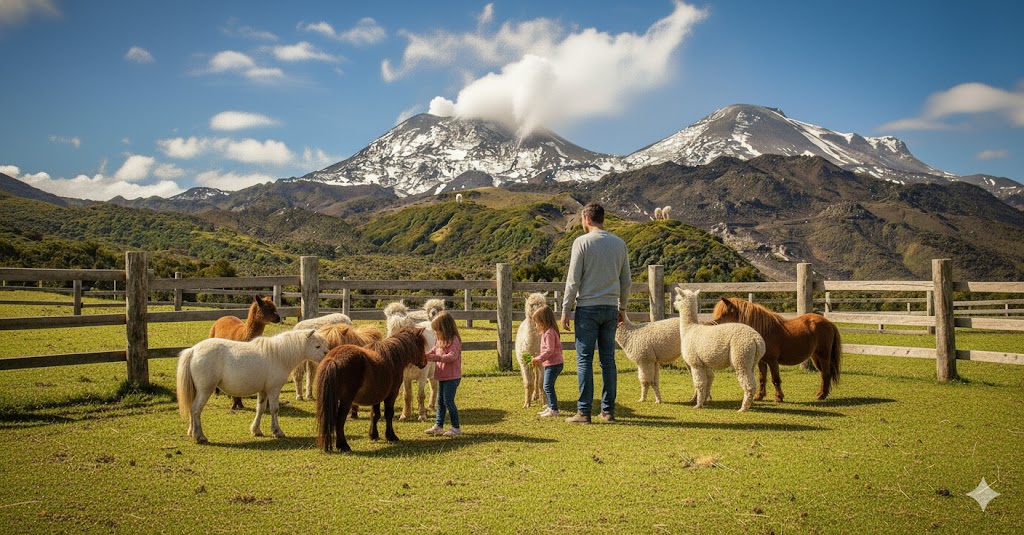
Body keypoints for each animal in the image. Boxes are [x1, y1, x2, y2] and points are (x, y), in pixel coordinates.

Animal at [176, 329, 330, 444]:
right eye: (317, 346)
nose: (327, 356)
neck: (278, 355)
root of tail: (193, 351)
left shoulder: (263, 391)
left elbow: (260, 409)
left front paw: (256, 430)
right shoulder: (274, 390)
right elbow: (274, 409)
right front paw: (277, 431)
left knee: (192, 409)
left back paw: (192, 433)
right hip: (205, 390)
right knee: (196, 410)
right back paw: (200, 436)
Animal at [712, 296, 842, 402]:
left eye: (723, 315)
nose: (713, 326)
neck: (763, 332)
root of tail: (829, 323)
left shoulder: (772, 361)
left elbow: (775, 379)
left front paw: (779, 397)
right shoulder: (762, 362)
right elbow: (762, 378)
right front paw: (759, 396)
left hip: (823, 356)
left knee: (826, 374)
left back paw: (821, 396)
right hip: (816, 357)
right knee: (823, 374)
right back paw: (821, 393)